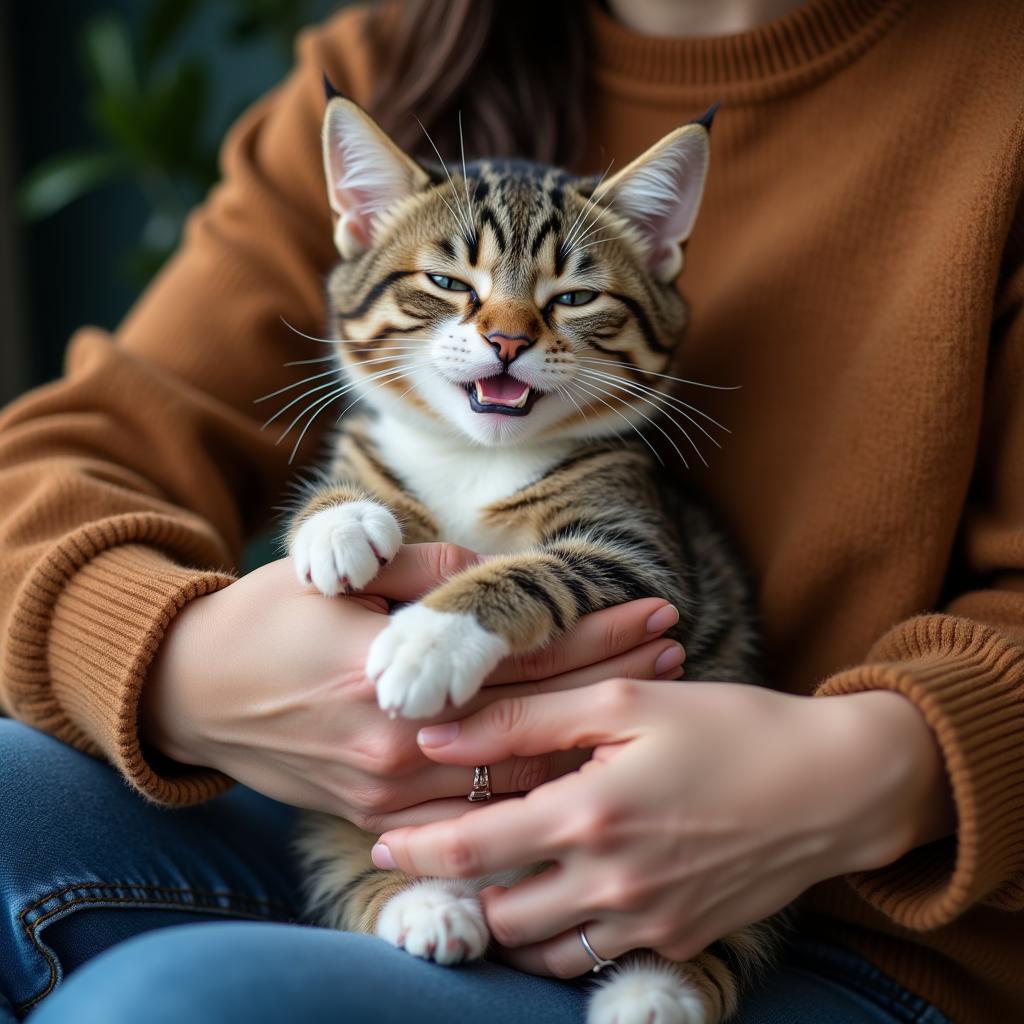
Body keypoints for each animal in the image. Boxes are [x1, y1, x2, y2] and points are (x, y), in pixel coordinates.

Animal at [284, 90, 770, 1024]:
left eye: (573, 296)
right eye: (447, 283)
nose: (507, 340)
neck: (476, 457)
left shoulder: (644, 554)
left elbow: (543, 568)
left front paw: (431, 639)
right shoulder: (374, 445)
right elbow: (352, 478)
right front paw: (339, 521)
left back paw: (657, 990)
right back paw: (426, 904)